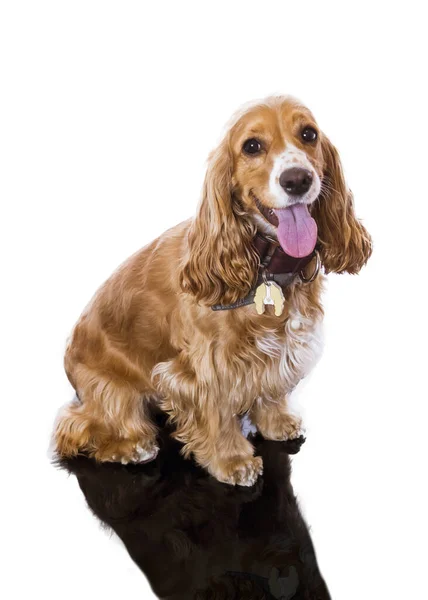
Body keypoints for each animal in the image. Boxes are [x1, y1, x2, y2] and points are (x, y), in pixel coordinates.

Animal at [54, 96, 372, 486]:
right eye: (252, 146)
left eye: (309, 134)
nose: (297, 179)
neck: (267, 265)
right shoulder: (204, 369)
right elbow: (215, 413)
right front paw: (232, 460)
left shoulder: (279, 351)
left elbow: (272, 390)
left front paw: (276, 422)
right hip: (110, 392)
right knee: (77, 427)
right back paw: (130, 446)